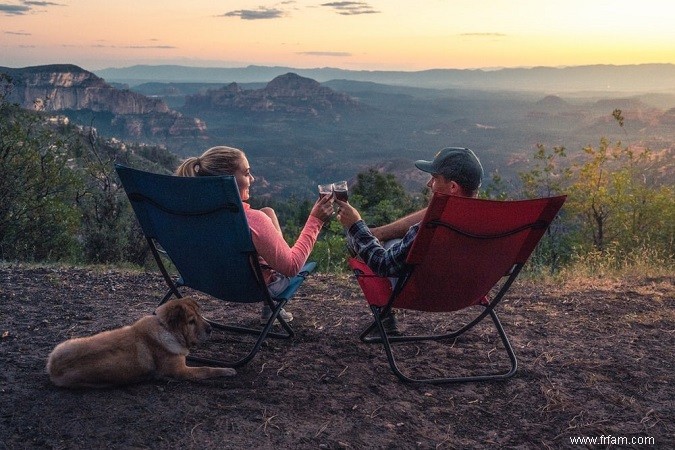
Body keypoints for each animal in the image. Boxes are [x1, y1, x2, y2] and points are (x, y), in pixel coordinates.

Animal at [45, 298, 235, 388]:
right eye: (191, 321)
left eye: (200, 315)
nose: (210, 329)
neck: (166, 329)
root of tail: (53, 367)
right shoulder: (181, 371)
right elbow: (206, 369)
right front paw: (227, 370)